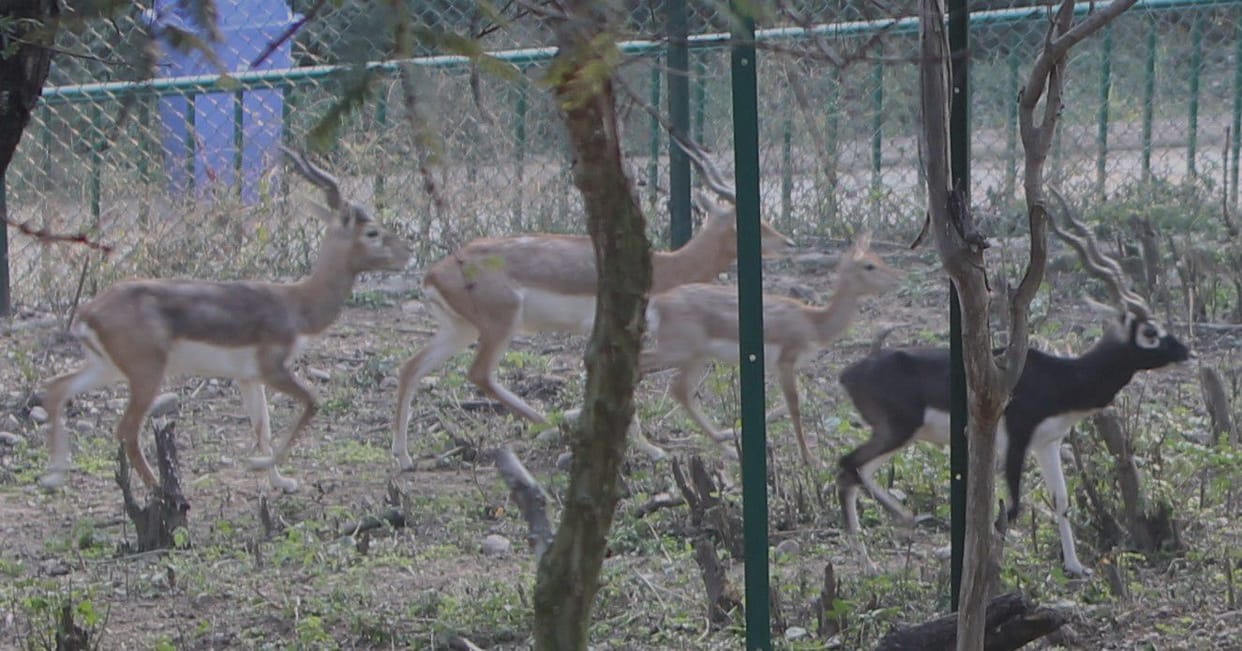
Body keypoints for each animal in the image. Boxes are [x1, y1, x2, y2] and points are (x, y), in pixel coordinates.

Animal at [39, 147, 412, 493]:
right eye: (372, 233)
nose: (408, 253)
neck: (296, 303)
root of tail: (88, 311)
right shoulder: (272, 368)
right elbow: (312, 402)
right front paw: (261, 465)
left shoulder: (249, 378)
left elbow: (263, 426)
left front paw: (280, 480)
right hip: (146, 374)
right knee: (125, 429)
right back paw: (160, 489)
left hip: (108, 368)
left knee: (57, 387)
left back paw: (54, 476)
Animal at [390, 162, 795, 470]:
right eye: (748, 220)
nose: (788, 242)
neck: (667, 267)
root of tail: (434, 273)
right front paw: (652, 450)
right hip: (500, 325)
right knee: (479, 374)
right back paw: (547, 424)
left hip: (460, 330)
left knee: (410, 367)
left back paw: (404, 457)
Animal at [640, 233, 902, 464]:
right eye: (869, 266)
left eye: (879, 258)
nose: (897, 279)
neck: (814, 323)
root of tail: (657, 304)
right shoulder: (786, 361)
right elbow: (794, 404)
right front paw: (810, 458)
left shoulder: (779, 366)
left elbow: (797, 399)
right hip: (677, 350)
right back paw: (656, 450)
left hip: (697, 355)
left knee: (680, 390)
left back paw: (726, 446)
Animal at [835, 191, 1191, 577]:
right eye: (1150, 332)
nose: (1185, 351)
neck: (1061, 377)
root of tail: (850, 372)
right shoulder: (1017, 439)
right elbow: (1012, 507)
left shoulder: (1048, 443)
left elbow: (1061, 500)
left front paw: (1076, 566)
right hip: (899, 429)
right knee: (848, 465)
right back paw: (898, 527)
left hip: (898, 434)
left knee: (853, 473)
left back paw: (870, 558)